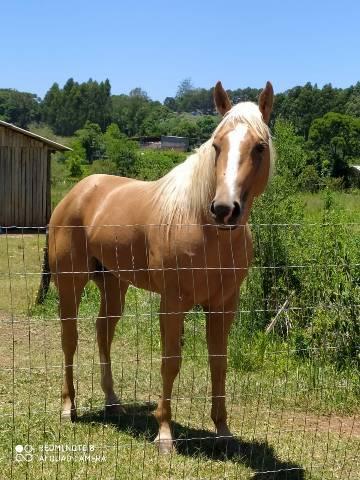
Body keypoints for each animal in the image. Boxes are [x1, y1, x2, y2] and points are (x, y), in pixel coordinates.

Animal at [46, 80, 274, 452]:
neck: (202, 227)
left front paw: (223, 431)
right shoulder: (172, 303)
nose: (224, 209)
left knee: (102, 333)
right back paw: (69, 408)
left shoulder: (224, 305)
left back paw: (113, 402)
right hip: (70, 283)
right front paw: (165, 434)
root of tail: (77, 192)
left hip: (113, 285)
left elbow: (219, 363)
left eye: (259, 146)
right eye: (216, 145)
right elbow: (170, 362)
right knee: (70, 339)